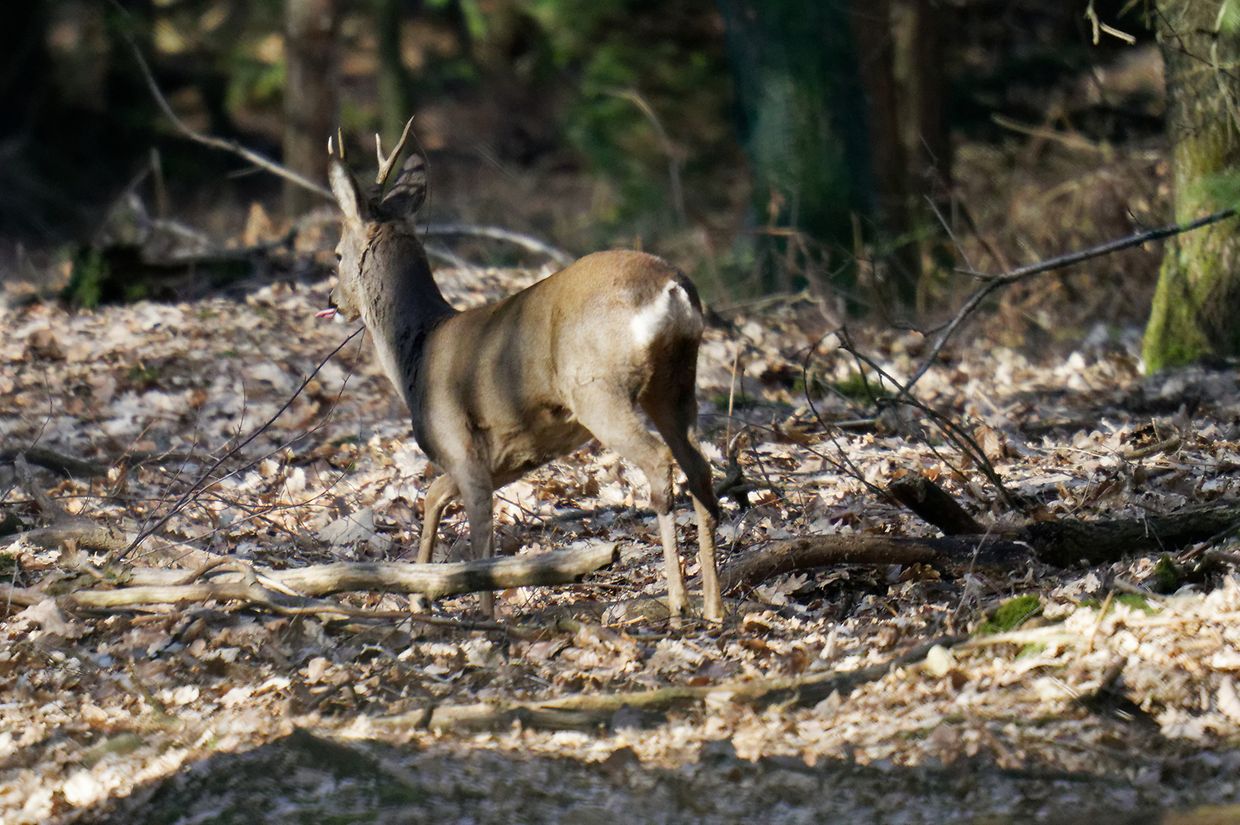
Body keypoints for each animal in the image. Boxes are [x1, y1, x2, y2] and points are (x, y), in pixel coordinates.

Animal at [317, 118, 723, 622]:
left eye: (336, 253)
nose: (332, 300)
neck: (419, 350)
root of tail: (673, 289)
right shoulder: (509, 454)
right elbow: (433, 495)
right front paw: (418, 595)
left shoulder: (459, 440)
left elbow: (480, 537)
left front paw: (483, 616)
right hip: (675, 383)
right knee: (699, 468)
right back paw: (713, 606)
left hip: (598, 389)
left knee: (658, 462)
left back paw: (678, 602)